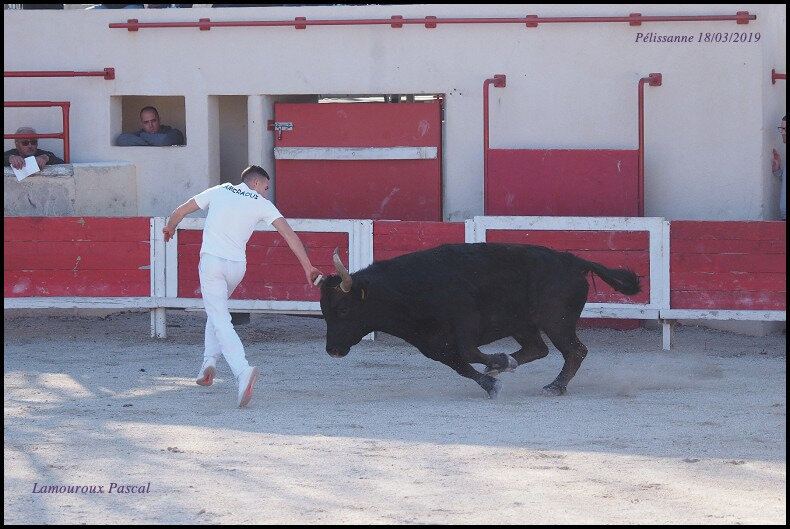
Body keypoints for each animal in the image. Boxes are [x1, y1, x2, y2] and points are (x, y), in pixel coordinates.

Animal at [318, 242, 640, 396]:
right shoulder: (433, 345)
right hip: (523, 324)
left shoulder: (465, 322)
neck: (409, 289)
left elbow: (470, 353)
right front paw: (491, 382)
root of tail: (573, 260)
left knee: (575, 351)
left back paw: (554, 386)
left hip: (556, 321)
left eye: (343, 310)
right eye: (324, 312)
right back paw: (507, 368)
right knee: (537, 349)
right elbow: (463, 367)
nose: (332, 350)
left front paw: (499, 364)